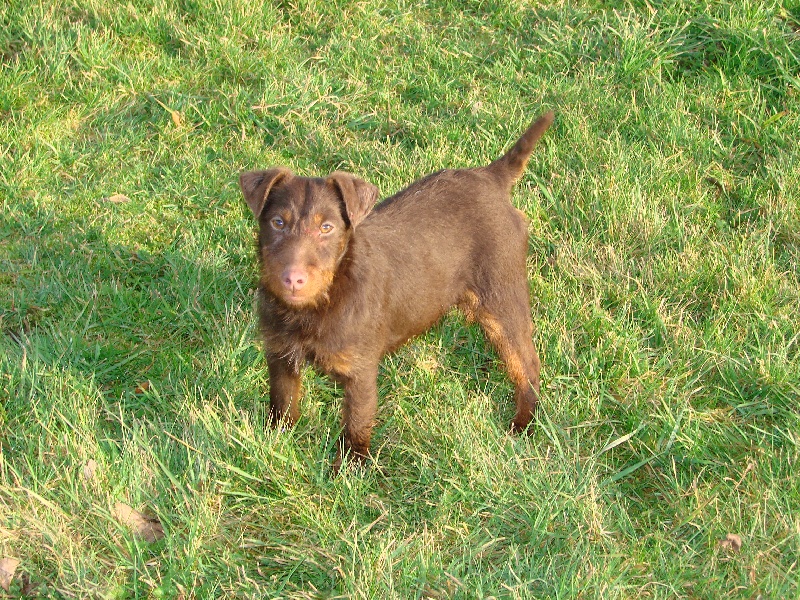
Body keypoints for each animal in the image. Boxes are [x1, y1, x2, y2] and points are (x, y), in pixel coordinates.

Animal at [242, 111, 556, 468]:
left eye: (327, 228)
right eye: (277, 223)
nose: (292, 279)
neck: (321, 301)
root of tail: (490, 177)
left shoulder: (360, 371)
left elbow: (357, 422)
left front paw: (350, 469)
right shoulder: (280, 354)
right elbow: (282, 403)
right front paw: (274, 442)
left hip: (502, 298)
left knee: (526, 364)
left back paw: (523, 424)